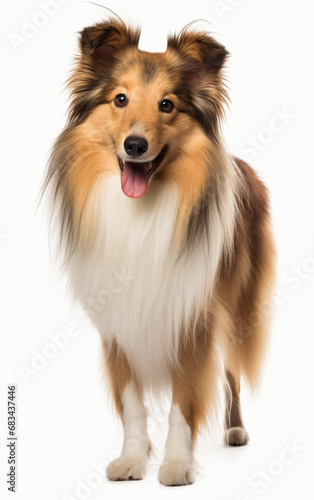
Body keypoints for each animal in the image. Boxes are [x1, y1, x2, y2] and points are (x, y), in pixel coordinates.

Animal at [43, 18, 274, 484]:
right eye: (120, 99)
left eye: (167, 105)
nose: (134, 145)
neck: (142, 211)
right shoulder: (118, 325)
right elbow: (132, 405)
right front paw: (132, 460)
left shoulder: (193, 319)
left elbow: (182, 404)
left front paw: (176, 465)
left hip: (238, 307)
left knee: (232, 373)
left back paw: (235, 428)